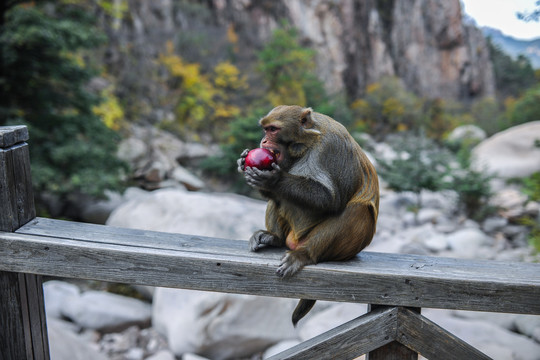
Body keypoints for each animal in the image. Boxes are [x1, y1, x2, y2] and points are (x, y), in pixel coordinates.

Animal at [236, 105, 380, 326]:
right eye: (265, 129)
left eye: (273, 130)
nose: (264, 141)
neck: (307, 141)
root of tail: (295, 241)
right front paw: (243, 161)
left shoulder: (330, 148)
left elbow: (331, 199)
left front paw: (274, 179)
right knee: (278, 200)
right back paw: (274, 238)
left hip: (346, 247)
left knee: (357, 210)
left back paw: (304, 254)